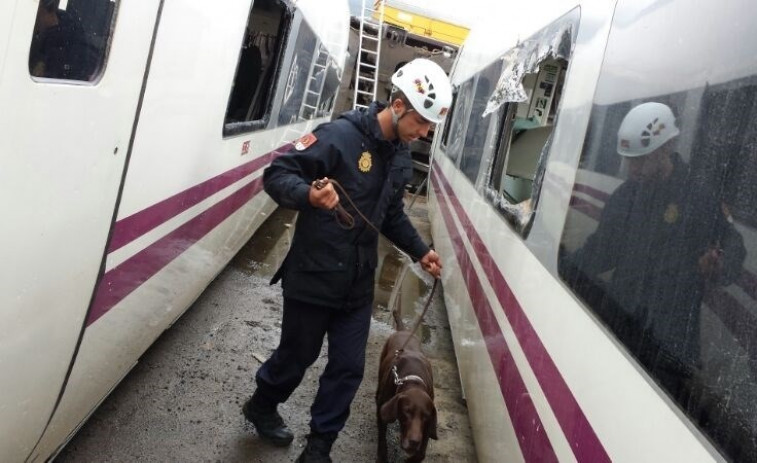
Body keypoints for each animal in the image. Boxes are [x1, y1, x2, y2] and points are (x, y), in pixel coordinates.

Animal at [376, 330, 438, 463]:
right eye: (406, 411)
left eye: (426, 416)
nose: (414, 442)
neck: (413, 379)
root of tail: (403, 330)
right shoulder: (382, 408)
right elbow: (382, 438)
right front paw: (382, 456)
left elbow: (421, 453)